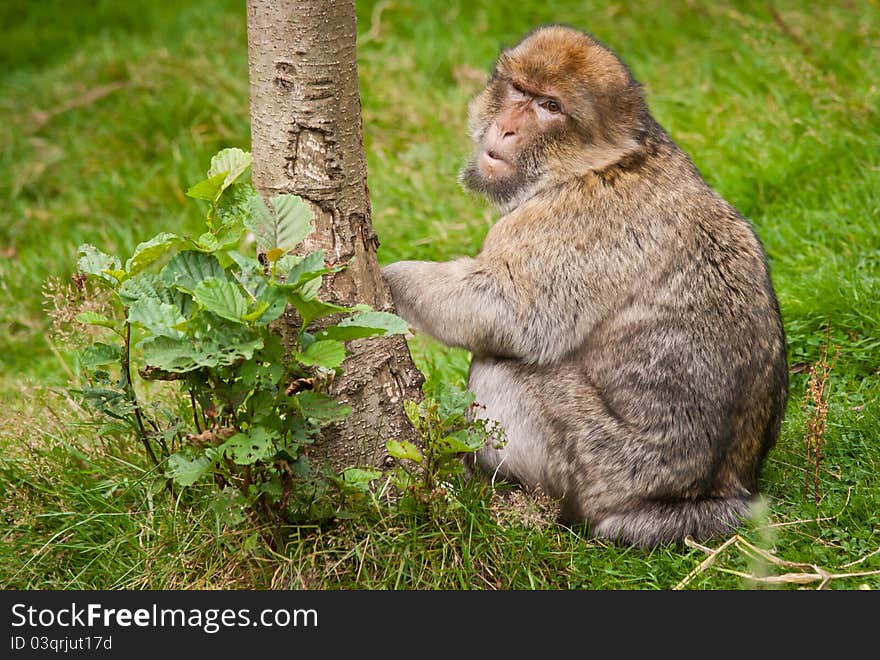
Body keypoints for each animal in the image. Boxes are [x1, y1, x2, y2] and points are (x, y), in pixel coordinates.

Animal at [382, 25, 788, 548]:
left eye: (550, 106)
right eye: (519, 90)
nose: (506, 128)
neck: (603, 161)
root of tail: (710, 494)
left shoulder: (573, 220)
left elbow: (509, 310)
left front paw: (383, 280)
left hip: (599, 465)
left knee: (502, 368)